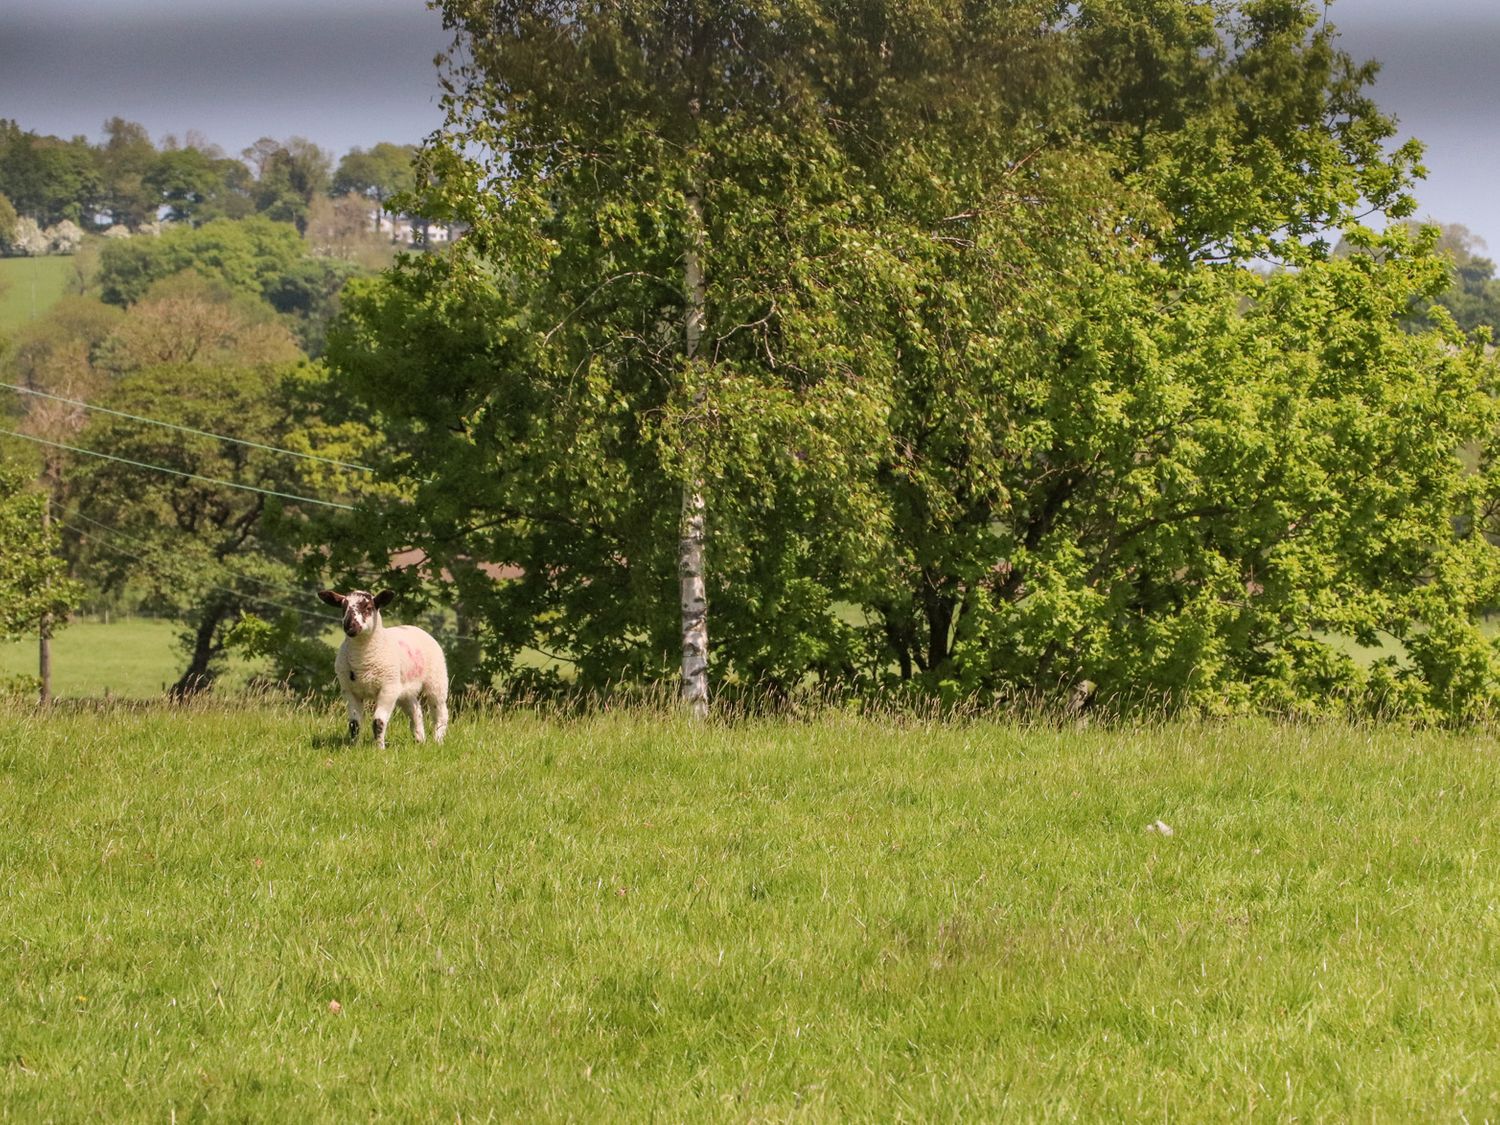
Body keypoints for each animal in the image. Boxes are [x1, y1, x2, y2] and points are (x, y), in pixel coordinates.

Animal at [318, 591, 447, 750]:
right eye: (343, 607)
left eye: (368, 607)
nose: (349, 626)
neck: (362, 661)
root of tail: (415, 628)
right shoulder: (349, 691)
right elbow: (354, 724)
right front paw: (354, 747)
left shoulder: (388, 689)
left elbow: (378, 722)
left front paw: (379, 748)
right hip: (404, 689)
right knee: (415, 711)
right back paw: (420, 741)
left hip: (437, 680)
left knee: (441, 712)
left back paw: (438, 741)